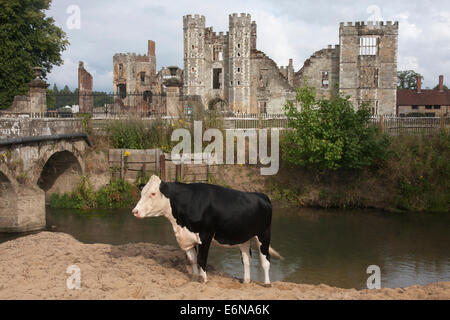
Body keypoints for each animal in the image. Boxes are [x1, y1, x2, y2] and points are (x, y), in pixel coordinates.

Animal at [132, 176, 284, 286]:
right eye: (142, 193)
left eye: (153, 193)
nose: (135, 211)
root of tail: (261, 195)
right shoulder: (188, 237)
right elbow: (192, 260)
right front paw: (194, 279)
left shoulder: (205, 236)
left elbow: (201, 259)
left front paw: (204, 280)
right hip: (244, 237)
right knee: (246, 259)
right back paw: (246, 281)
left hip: (264, 234)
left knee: (265, 260)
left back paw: (267, 283)